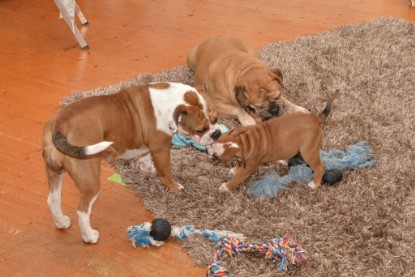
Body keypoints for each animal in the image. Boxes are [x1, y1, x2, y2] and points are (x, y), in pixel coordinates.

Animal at [42, 82, 223, 242]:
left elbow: (146, 158)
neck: (171, 103)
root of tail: (59, 125)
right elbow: (166, 170)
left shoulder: (150, 147)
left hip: (54, 171)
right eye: (200, 129)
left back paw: (61, 223)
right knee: (82, 211)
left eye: (216, 119)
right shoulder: (161, 148)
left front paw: (147, 168)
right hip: (89, 178)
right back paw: (90, 236)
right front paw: (174, 187)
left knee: (53, 200)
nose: (216, 134)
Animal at [206, 90, 340, 190]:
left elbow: (238, 178)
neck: (245, 142)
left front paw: (226, 186)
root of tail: (315, 118)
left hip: (308, 151)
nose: (207, 150)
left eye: (217, 157)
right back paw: (284, 161)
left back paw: (315, 184)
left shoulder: (249, 167)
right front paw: (235, 169)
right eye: (216, 138)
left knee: (320, 167)